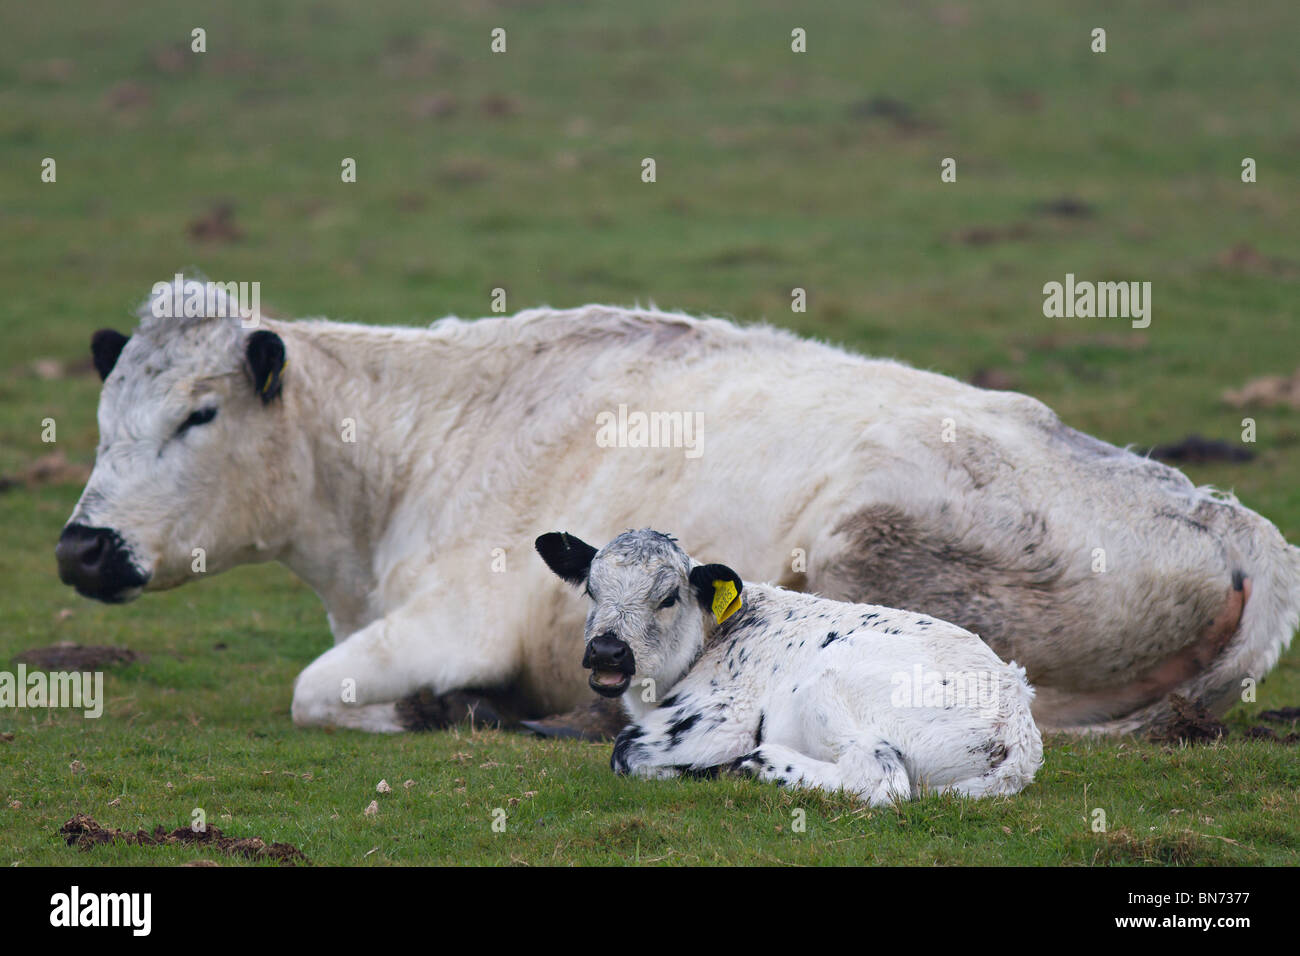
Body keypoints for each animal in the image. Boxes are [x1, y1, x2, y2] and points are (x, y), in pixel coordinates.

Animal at [55, 276, 1300, 735]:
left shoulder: (455, 616)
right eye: (105, 412)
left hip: (856, 547)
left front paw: (450, 709)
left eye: (199, 415)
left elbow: (318, 692)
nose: (81, 546)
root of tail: (1226, 515)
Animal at [535, 529, 1044, 803]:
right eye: (591, 590)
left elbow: (624, 750)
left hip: (834, 680)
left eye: (668, 598)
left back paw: (758, 765)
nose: (607, 650)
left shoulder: (720, 718)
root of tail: (1017, 717)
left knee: (881, 778)